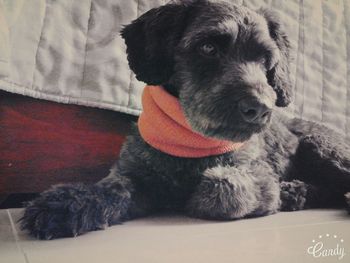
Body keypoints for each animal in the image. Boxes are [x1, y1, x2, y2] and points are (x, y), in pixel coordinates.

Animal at [20, 0, 348, 240]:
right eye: (208, 48)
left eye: (266, 60)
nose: (260, 108)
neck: (191, 139)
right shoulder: (136, 173)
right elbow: (112, 188)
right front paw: (65, 204)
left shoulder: (261, 178)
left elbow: (222, 186)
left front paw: (196, 196)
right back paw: (297, 193)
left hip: (322, 146)